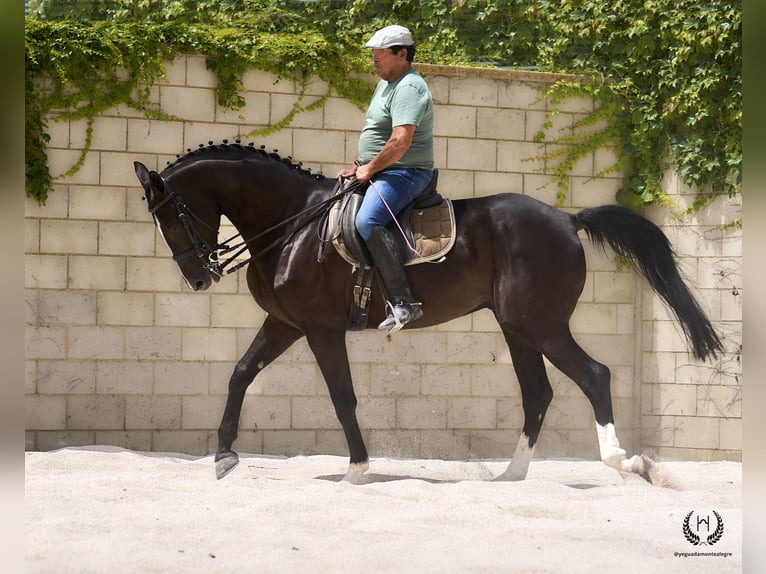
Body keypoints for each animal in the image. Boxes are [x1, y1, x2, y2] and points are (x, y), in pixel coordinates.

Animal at [135, 143, 724, 486]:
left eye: (172, 215)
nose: (198, 278)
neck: (294, 224)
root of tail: (566, 218)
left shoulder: (320, 330)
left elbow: (342, 398)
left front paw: (357, 468)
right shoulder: (285, 325)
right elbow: (239, 374)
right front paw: (224, 456)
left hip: (541, 325)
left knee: (594, 376)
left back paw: (625, 463)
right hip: (517, 328)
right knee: (538, 393)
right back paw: (510, 475)